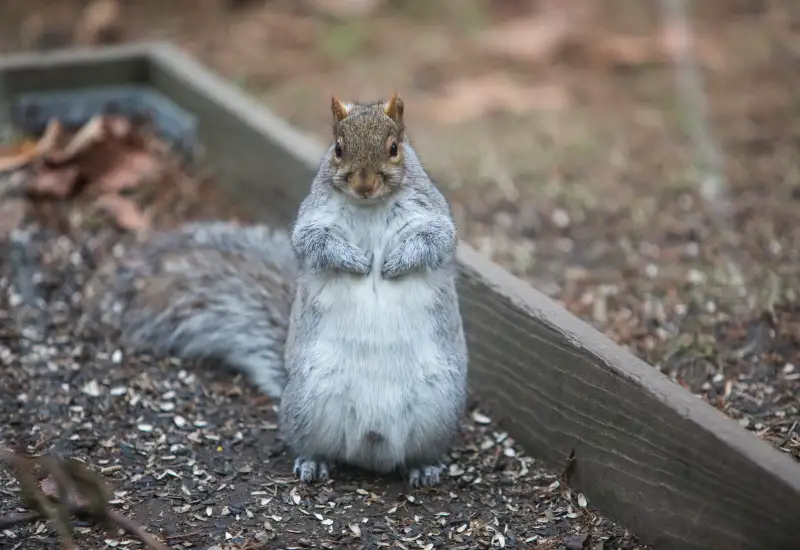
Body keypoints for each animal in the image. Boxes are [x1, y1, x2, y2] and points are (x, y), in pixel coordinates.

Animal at [83, 94, 466, 488]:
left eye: (394, 148)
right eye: (338, 148)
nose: (364, 185)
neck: (370, 207)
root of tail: (371, 451)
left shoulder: (432, 216)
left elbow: (435, 241)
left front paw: (393, 263)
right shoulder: (312, 222)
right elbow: (314, 244)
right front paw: (356, 262)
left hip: (438, 412)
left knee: (419, 453)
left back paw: (423, 468)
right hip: (309, 405)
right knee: (315, 446)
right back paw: (313, 463)